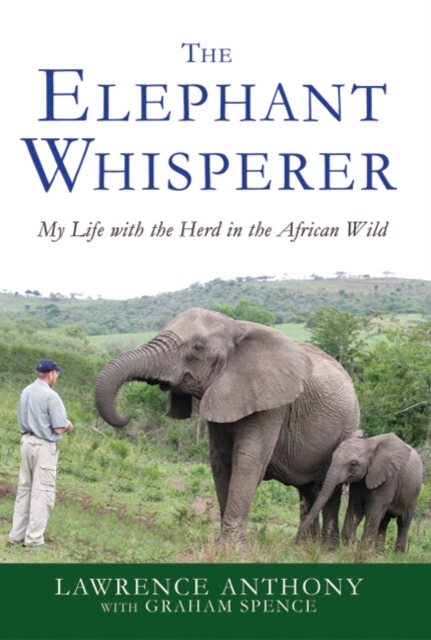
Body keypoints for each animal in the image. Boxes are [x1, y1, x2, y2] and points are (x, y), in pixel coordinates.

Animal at [95, 308, 360, 547]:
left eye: (197, 347)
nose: (126, 415)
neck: (237, 327)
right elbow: (221, 461)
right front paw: (221, 544)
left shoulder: (273, 404)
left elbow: (247, 461)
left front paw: (230, 549)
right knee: (307, 490)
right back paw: (303, 546)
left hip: (348, 426)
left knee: (331, 487)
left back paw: (326, 548)